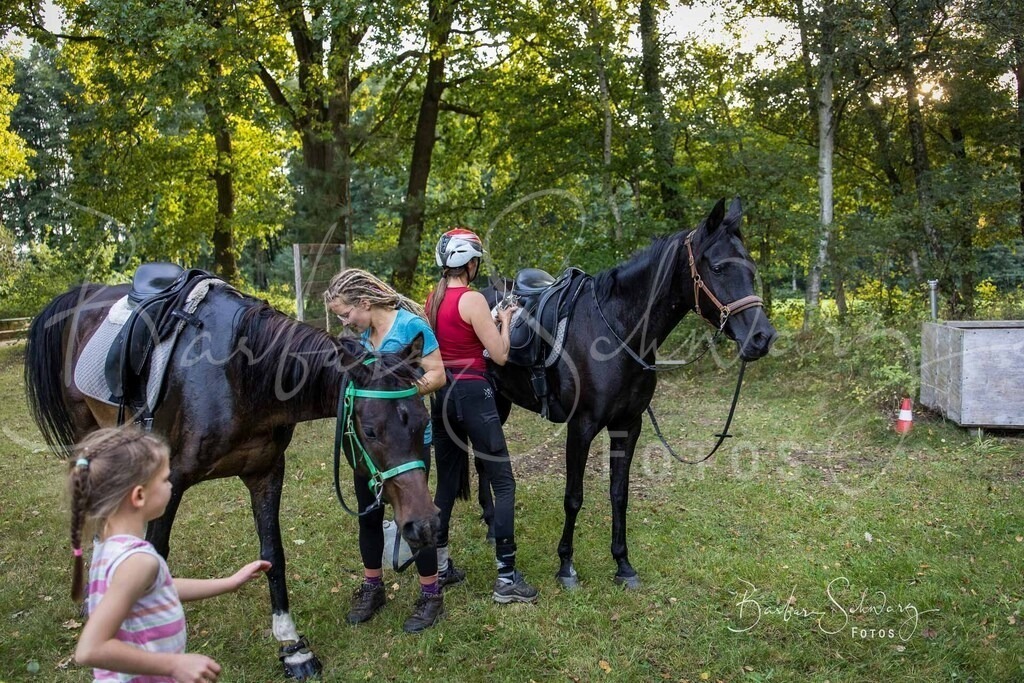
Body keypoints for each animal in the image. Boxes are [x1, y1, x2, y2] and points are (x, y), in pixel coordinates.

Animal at [24, 279, 438, 679]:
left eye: (424, 421)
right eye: (369, 431)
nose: (425, 525)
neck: (237, 376)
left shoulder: (266, 472)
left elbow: (273, 555)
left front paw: (292, 648)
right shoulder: (171, 481)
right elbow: (157, 553)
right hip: (87, 432)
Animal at [481, 197, 777, 589]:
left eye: (751, 267)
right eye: (717, 267)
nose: (762, 337)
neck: (617, 332)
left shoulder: (628, 425)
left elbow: (619, 494)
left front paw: (623, 563)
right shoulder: (581, 427)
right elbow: (573, 497)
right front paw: (566, 566)